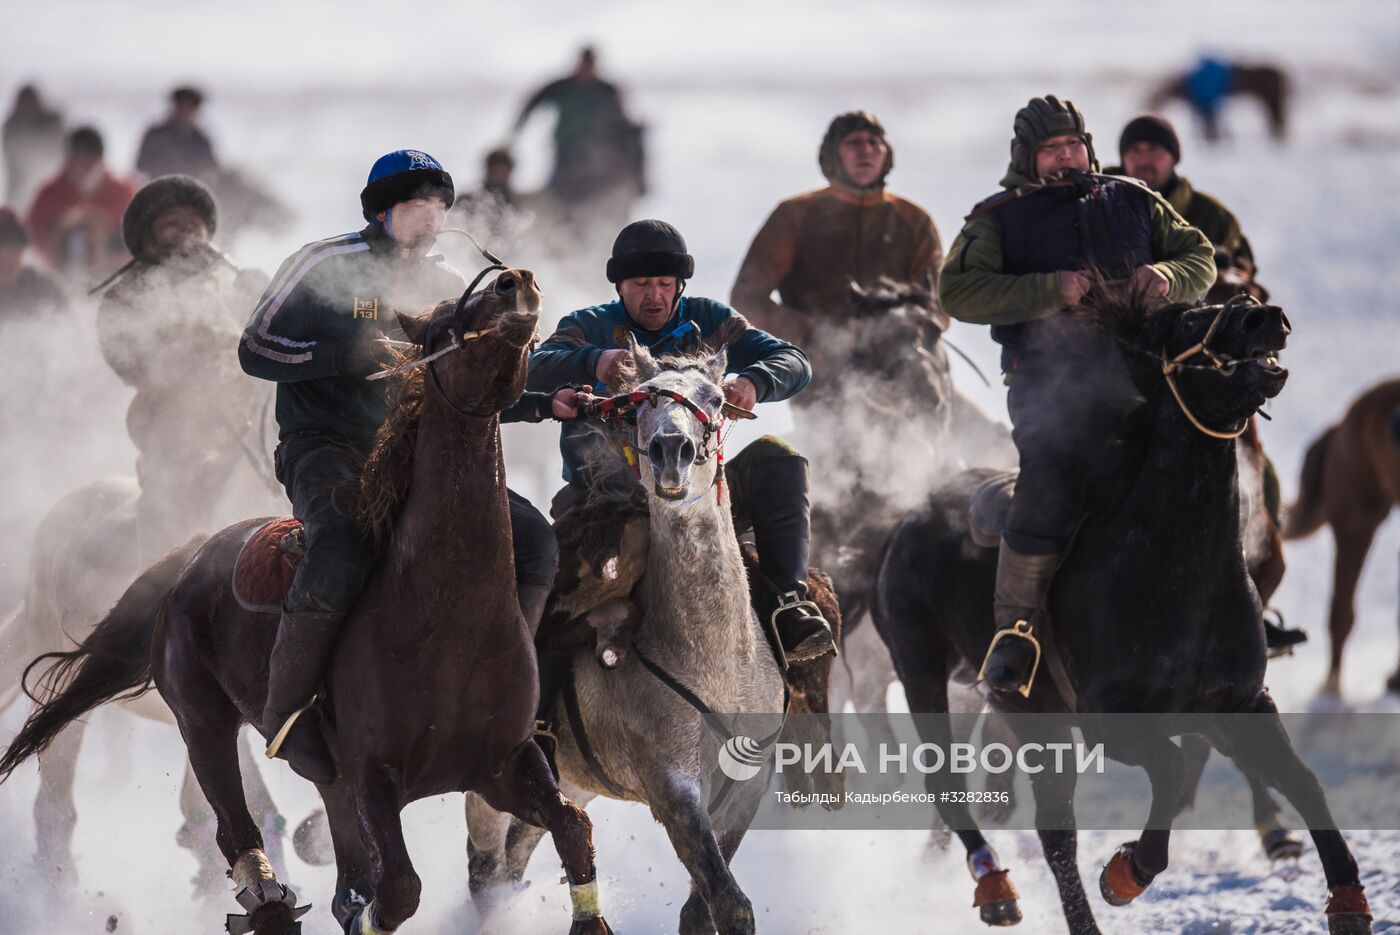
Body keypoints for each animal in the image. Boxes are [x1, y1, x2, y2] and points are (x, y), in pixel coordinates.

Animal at [1, 270, 613, 935]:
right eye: (447, 321)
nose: (514, 280)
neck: (447, 617)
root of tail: (190, 555)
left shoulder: (506, 764)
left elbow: (572, 827)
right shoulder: (371, 777)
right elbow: (396, 889)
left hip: (320, 777)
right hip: (202, 719)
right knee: (229, 820)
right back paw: (263, 894)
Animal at [868, 293, 1372, 935]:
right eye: (1191, 321)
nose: (1266, 316)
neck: (1178, 574)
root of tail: (907, 521)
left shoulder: (1239, 706)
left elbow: (1303, 783)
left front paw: (1349, 900)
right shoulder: (1111, 721)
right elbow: (1173, 768)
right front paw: (1128, 871)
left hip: (1024, 715)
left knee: (1054, 831)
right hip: (924, 672)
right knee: (949, 783)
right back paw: (995, 885)